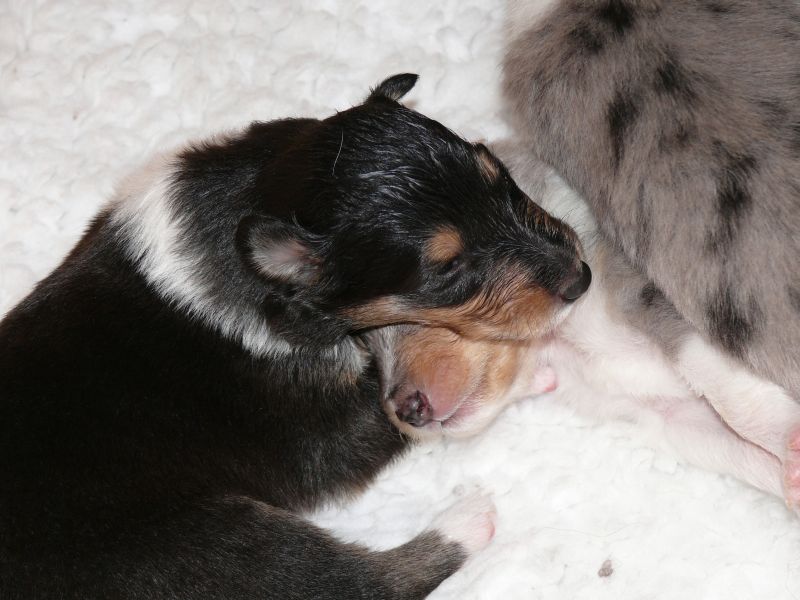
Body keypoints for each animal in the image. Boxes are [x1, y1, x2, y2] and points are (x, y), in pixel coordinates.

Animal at [0, 73, 589, 599]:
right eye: (448, 270)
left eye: (503, 179)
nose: (582, 277)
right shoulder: (323, 428)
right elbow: (405, 423)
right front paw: (531, 368)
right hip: (210, 548)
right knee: (354, 583)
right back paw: (467, 518)